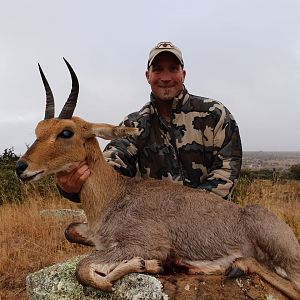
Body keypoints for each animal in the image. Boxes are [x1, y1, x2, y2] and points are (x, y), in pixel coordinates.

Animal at [16, 59, 300, 300]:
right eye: (39, 130)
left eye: (66, 132)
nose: (21, 167)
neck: (115, 195)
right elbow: (71, 232)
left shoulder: (145, 243)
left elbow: (85, 270)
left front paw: (146, 264)